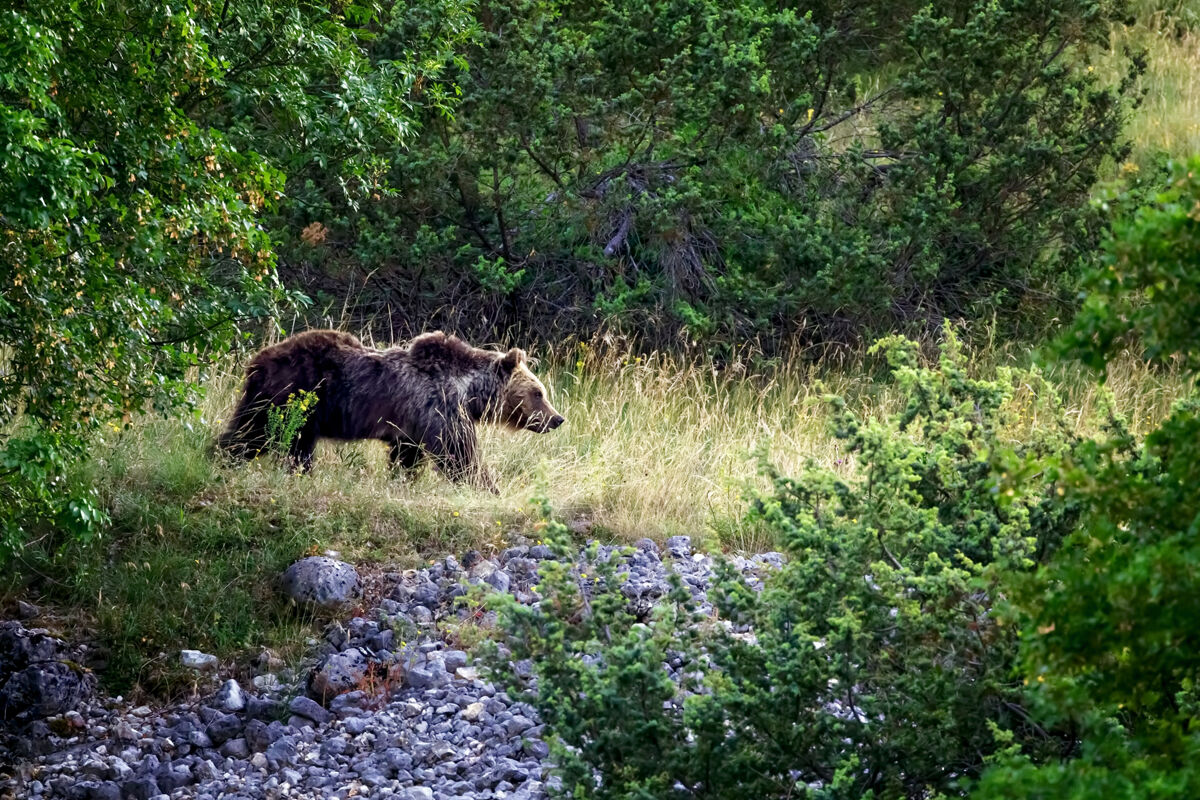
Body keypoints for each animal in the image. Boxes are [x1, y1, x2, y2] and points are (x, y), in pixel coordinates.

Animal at [217, 329, 564, 490]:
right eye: (538, 392)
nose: (558, 419)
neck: (470, 392)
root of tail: (256, 362)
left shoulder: (411, 427)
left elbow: (407, 457)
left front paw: (402, 480)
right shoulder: (440, 408)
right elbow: (459, 454)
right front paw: (487, 486)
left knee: (270, 438)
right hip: (290, 398)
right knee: (256, 434)